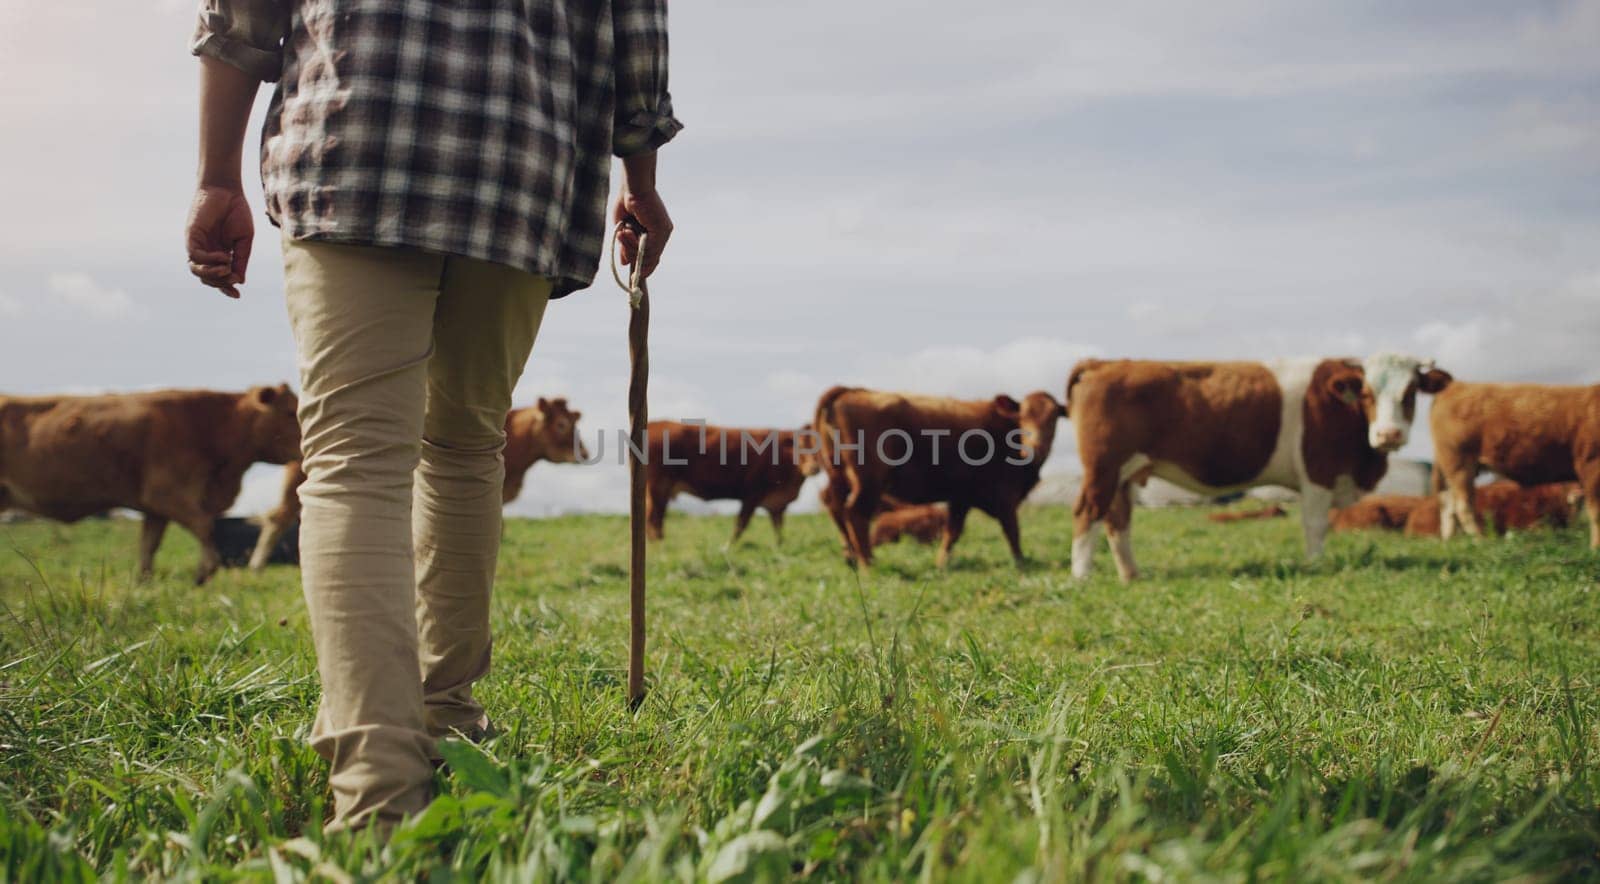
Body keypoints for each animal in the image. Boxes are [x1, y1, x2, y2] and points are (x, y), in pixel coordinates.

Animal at [0, 384, 302, 579]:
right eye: (290, 412)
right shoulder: (166, 493)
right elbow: (204, 525)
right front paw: (204, 571)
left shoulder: (155, 507)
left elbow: (149, 544)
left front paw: (143, 582)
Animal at [640, 422, 819, 544]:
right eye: (801, 445)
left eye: (819, 447)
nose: (814, 468)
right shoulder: (752, 494)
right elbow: (740, 524)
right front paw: (729, 546)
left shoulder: (777, 503)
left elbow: (779, 528)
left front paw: (780, 546)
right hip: (658, 486)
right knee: (652, 517)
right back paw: (658, 545)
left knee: (657, 517)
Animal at [812, 387, 1062, 566]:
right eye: (1023, 417)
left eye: (1052, 420)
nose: (1036, 447)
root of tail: (851, 391)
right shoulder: (1004, 495)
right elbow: (1012, 530)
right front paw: (1021, 562)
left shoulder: (961, 498)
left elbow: (952, 532)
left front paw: (941, 563)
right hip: (868, 481)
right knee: (854, 513)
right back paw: (868, 563)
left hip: (840, 477)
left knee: (835, 507)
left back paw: (851, 556)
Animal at [1068, 352, 1459, 579]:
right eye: (1366, 393)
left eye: (1410, 393)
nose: (1389, 433)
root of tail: (1105, 363)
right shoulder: (1318, 472)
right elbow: (1316, 524)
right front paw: (1315, 565)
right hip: (1103, 468)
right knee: (1088, 513)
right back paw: (1082, 575)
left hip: (1124, 474)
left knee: (1117, 520)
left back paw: (1131, 574)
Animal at [1427, 382, 1600, 547]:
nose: (1576, 494)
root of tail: (1453, 385)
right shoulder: (1591, 462)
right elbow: (1596, 512)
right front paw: (1595, 548)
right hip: (1459, 465)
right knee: (1462, 506)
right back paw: (1480, 540)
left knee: (1448, 506)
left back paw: (1450, 543)